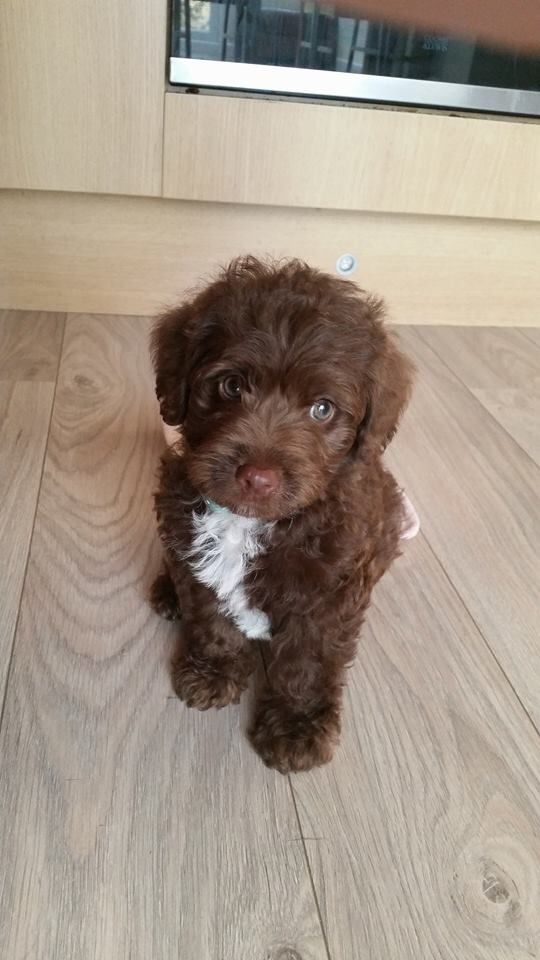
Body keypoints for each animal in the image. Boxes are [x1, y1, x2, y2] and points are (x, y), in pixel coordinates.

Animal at [151, 255, 414, 772]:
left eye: (322, 409)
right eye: (232, 385)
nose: (258, 476)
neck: (251, 523)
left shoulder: (331, 591)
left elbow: (306, 660)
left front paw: (296, 727)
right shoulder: (194, 549)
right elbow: (211, 618)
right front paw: (213, 672)